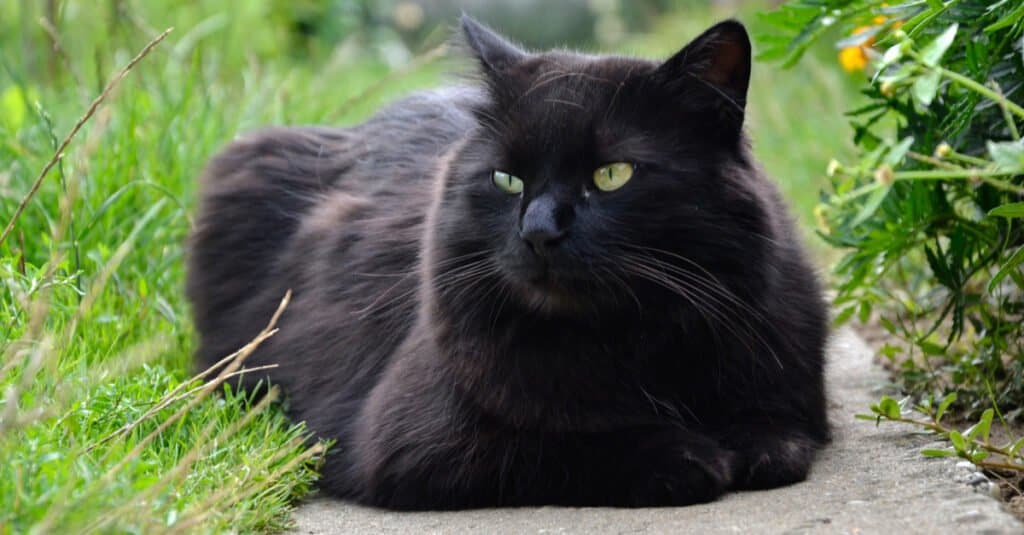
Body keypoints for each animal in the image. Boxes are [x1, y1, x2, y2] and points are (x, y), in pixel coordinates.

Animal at [188, 15, 831, 508]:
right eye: (506, 180)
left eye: (613, 175)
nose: (539, 231)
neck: (633, 340)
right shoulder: (419, 444)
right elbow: (571, 440)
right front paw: (685, 454)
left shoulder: (787, 387)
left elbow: (780, 437)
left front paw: (746, 445)